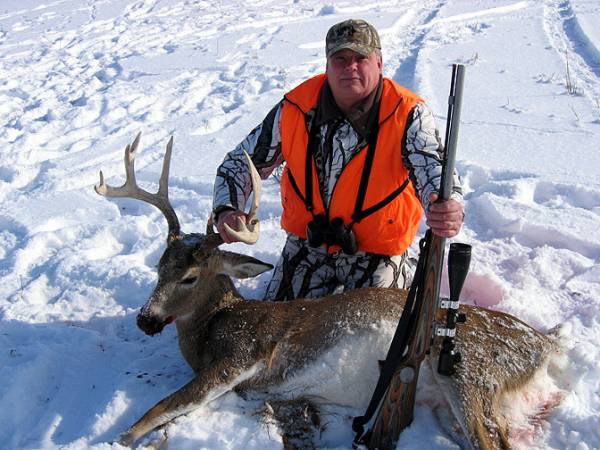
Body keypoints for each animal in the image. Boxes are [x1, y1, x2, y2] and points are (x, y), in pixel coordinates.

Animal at [97, 134, 564, 450]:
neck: (212, 327)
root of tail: (544, 343)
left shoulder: (243, 355)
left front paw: (116, 436)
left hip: (469, 372)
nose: (145, 319)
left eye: (190, 277)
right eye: (159, 266)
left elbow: (158, 410)